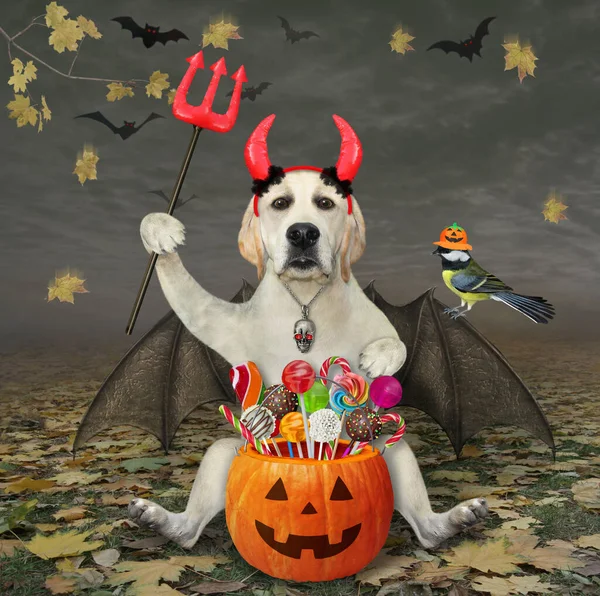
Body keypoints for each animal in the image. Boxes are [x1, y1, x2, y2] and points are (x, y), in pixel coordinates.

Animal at [127, 114, 488, 552]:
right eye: (280, 203)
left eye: (326, 203)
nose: (302, 233)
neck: (304, 300)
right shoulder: (219, 321)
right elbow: (186, 296)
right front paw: (159, 230)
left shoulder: (384, 326)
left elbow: (399, 343)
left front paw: (378, 359)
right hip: (224, 453)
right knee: (190, 528)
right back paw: (160, 520)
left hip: (393, 451)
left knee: (425, 524)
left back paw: (455, 519)